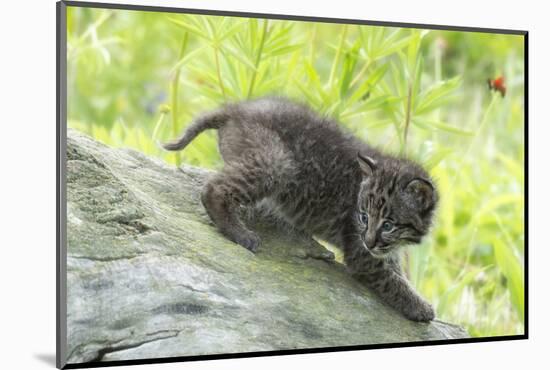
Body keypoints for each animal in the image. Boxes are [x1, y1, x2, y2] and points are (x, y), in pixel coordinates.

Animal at [164, 96, 440, 320]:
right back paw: (240, 233)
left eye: (388, 225)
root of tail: (236, 109)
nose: (370, 241)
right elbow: (393, 282)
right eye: (363, 217)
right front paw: (422, 308)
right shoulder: (363, 257)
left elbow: (396, 270)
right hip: (277, 163)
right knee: (213, 188)